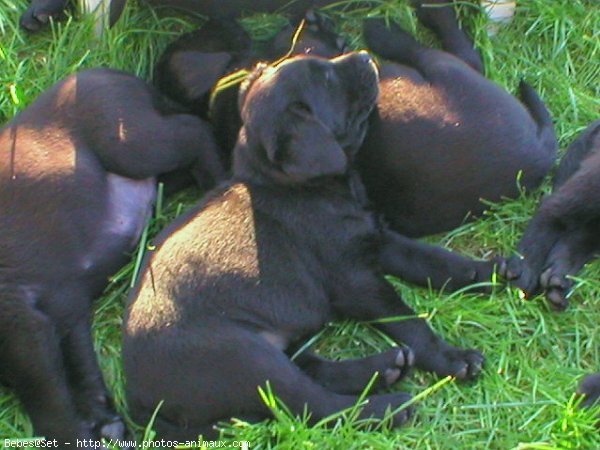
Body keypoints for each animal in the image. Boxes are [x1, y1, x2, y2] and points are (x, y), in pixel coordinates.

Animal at [0, 67, 223, 446]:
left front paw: (78, 436)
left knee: (194, 130)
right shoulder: (64, 308)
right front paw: (107, 423)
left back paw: (220, 183)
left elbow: (43, 398)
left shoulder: (18, 323)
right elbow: (79, 366)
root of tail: (111, 73)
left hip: (128, 139)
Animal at [124, 51, 486, 440]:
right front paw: (453, 358)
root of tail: (135, 397)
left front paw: (492, 271)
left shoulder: (376, 238)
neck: (301, 188)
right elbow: (408, 320)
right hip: (243, 356)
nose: (364, 56)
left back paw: (383, 368)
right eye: (326, 79)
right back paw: (388, 407)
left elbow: (434, 260)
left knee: (311, 371)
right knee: (311, 405)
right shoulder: (357, 282)